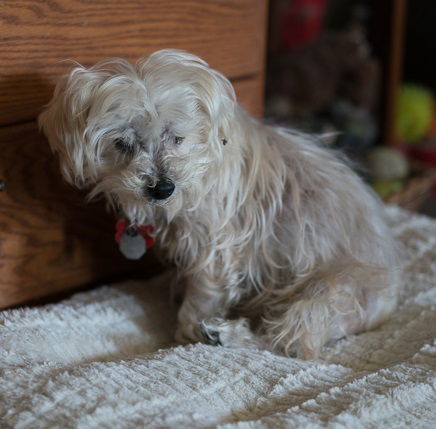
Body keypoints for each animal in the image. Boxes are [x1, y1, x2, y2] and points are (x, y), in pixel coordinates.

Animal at [39, 49, 400, 358]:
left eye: (177, 137)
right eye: (123, 143)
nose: (163, 189)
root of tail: (385, 307)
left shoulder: (215, 247)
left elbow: (203, 294)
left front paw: (185, 333)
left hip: (329, 291)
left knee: (290, 342)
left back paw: (226, 335)